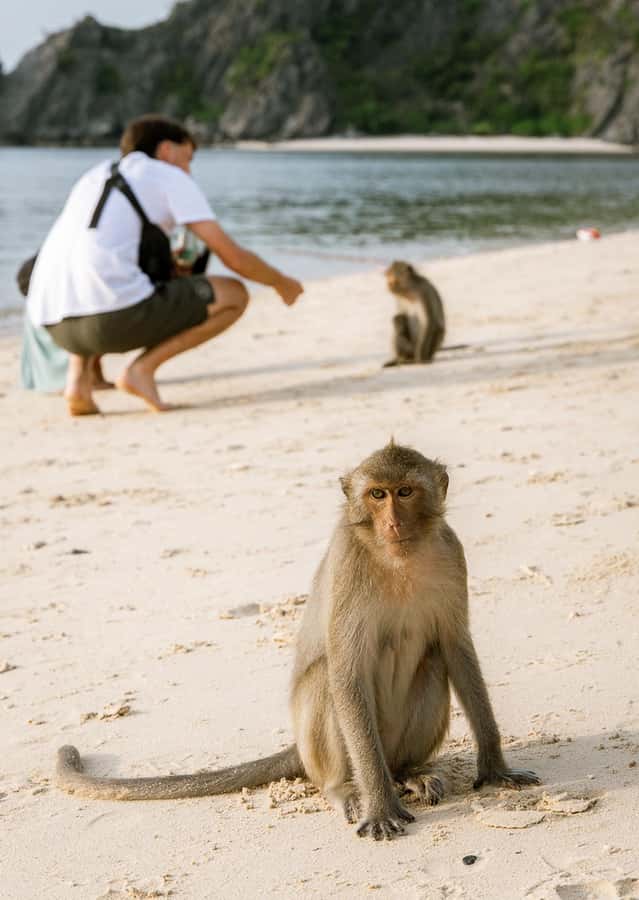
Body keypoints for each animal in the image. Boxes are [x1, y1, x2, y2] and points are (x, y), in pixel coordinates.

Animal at [56, 442, 539, 841]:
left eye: (405, 492)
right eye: (376, 495)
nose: (392, 522)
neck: (396, 557)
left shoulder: (451, 553)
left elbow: (456, 647)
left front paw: (494, 768)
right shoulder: (348, 562)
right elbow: (345, 672)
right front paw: (380, 805)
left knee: (434, 661)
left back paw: (408, 772)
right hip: (326, 750)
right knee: (326, 680)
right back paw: (349, 788)